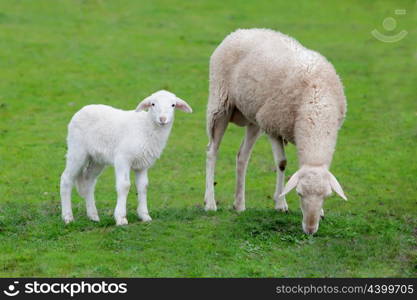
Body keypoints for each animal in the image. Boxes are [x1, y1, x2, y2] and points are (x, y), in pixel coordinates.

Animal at [59, 91, 193, 225]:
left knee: (88, 181)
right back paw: (68, 217)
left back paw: (93, 216)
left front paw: (145, 216)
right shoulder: (122, 158)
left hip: (97, 159)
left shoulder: (143, 164)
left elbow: (143, 186)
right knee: (66, 179)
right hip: (77, 150)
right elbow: (124, 185)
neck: (146, 127)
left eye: (173, 105)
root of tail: (83, 109)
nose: (163, 119)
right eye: (152, 104)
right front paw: (121, 218)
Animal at [203, 28, 346, 234]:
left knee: (242, 156)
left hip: (253, 117)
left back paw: (239, 204)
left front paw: (320, 212)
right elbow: (282, 163)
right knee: (211, 152)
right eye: (299, 194)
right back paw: (210, 203)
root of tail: (240, 31)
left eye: (326, 196)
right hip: (220, 104)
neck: (316, 103)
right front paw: (280, 203)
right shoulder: (272, 125)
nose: (310, 230)